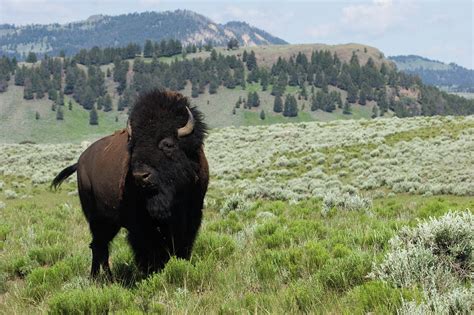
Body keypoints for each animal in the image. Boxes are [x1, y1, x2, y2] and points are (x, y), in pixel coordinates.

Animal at [51, 89, 208, 278]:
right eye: (133, 144)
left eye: (168, 144)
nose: (140, 176)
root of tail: (81, 160)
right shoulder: (140, 224)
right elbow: (148, 249)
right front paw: (151, 272)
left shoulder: (192, 215)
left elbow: (182, 245)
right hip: (96, 218)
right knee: (98, 245)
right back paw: (97, 277)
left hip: (110, 222)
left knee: (101, 245)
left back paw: (107, 278)